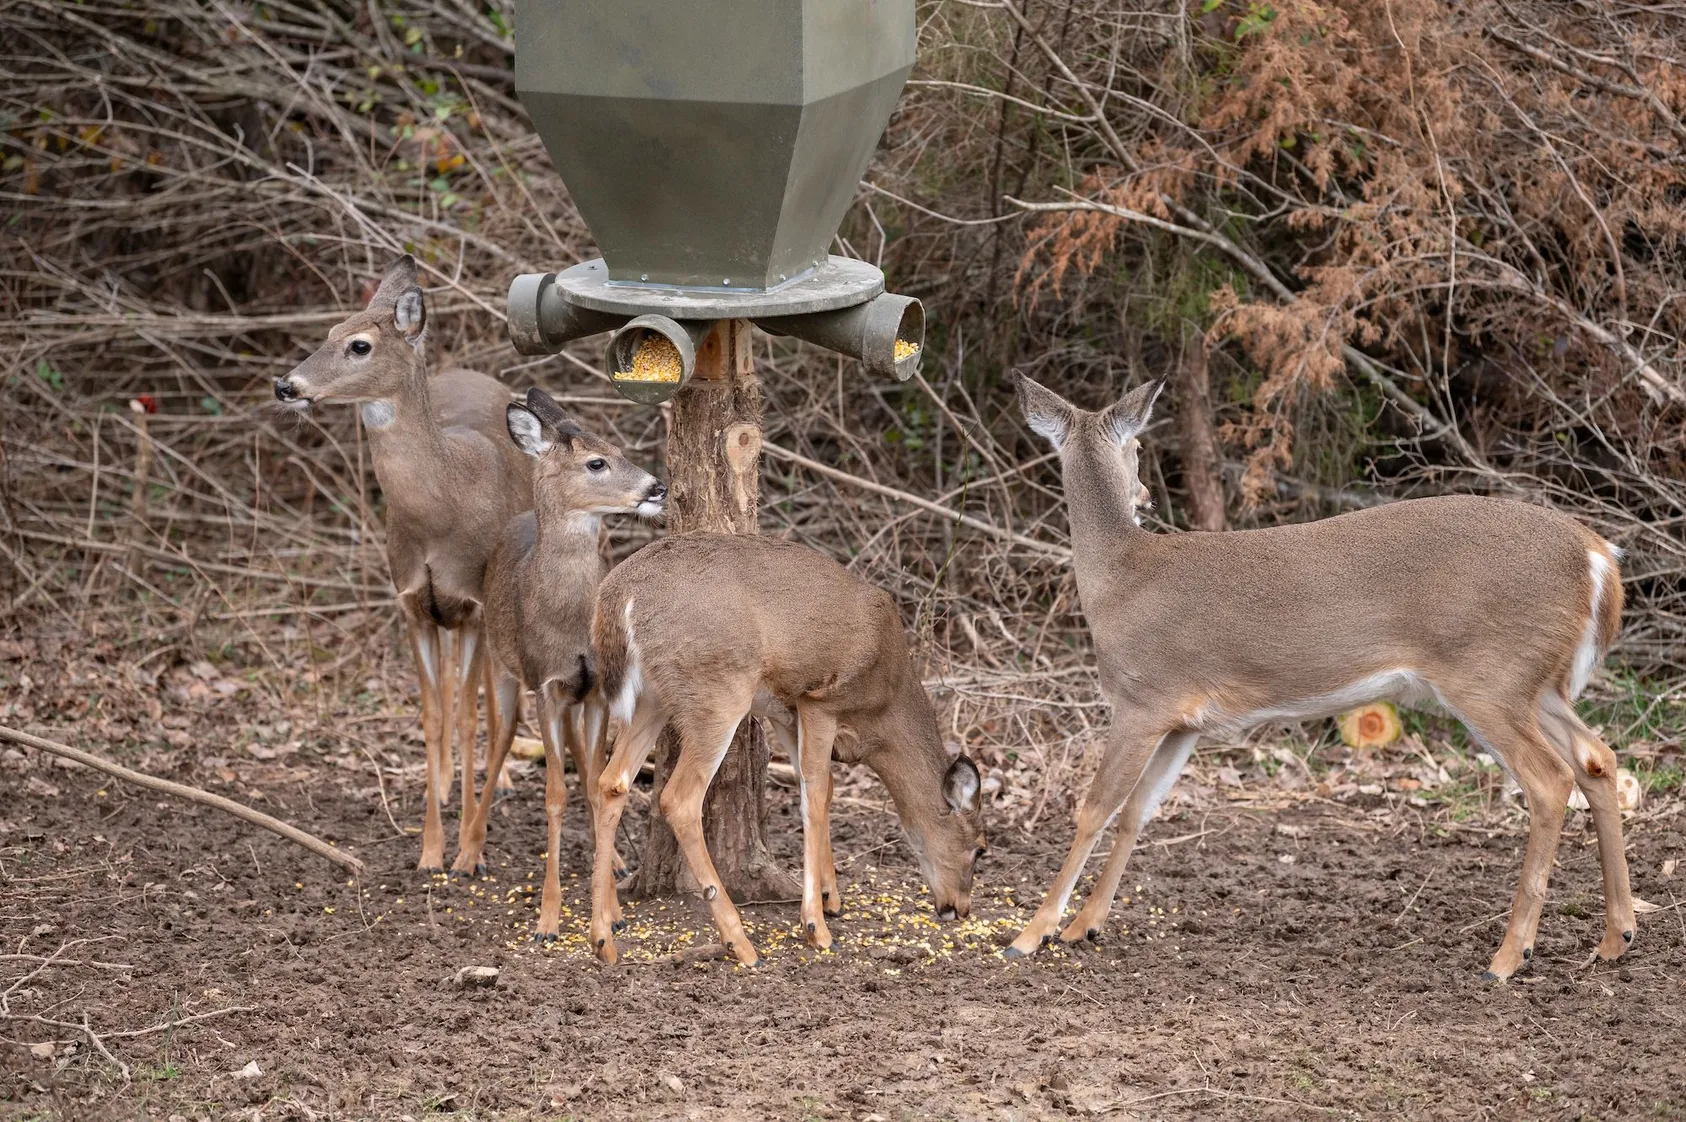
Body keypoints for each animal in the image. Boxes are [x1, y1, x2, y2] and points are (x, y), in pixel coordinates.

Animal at [274, 255, 532, 871]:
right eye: (329, 332)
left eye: (360, 345)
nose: (286, 385)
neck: (442, 510)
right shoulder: (413, 603)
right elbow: (432, 716)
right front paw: (430, 850)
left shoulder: (473, 604)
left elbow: (466, 716)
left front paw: (468, 851)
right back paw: (445, 783)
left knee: (491, 697)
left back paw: (497, 781)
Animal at [450, 387, 667, 940]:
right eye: (596, 462)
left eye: (617, 448)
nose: (658, 487)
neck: (568, 626)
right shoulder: (545, 685)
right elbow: (553, 795)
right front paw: (548, 917)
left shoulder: (597, 691)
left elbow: (593, 784)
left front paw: (611, 909)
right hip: (502, 667)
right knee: (499, 741)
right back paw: (467, 853)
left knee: (577, 758)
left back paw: (615, 863)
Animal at [585, 533, 986, 966]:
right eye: (980, 849)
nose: (960, 909)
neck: (883, 707)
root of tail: (619, 595)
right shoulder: (821, 702)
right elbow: (815, 794)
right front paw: (816, 927)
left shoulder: (786, 711)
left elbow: (822, 788)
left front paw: (830, 898)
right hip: (719, 690)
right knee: (678, 798)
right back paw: (740, 942)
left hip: (654, 697)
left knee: (611, 781)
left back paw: (605, 936)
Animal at [1008, 372, 1635, 980]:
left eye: (1137, 448)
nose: (1145, 496)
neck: (1118, 582)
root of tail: (1598, 557)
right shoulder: (1184, 720)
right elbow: (1138, 811)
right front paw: (1085, 925)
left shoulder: (1142, 699)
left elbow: (1096, 807)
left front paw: (1033, 934)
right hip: (1537, 683)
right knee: (1598, 759)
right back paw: (1614, 939)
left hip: (1489, 676)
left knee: (1549, 780)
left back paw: (1508, 958)